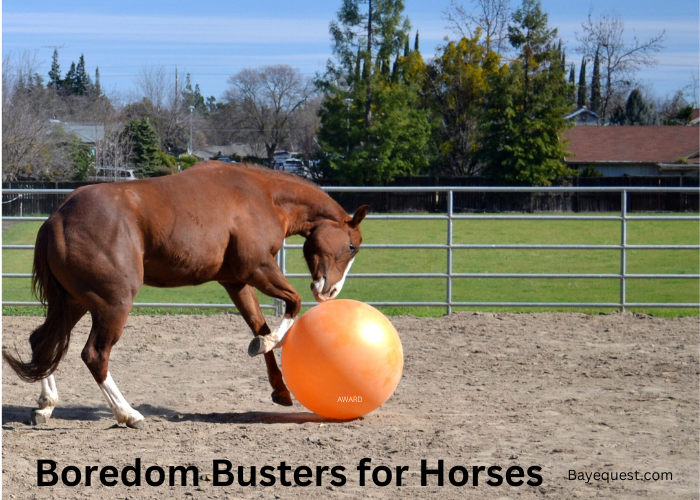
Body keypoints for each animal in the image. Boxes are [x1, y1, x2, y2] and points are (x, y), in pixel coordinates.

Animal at [3, 161, 369, 429]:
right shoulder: (258, 267)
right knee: (94, 355)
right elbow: (291, 304)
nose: (330, 291)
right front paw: (268, 347)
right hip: (112, 304)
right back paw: (128, 414)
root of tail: (56, 218)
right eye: (352, 246)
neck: (262, 195)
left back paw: (45, 406)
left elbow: (259, 325)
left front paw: (278, 386)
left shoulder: (236, 281)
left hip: (73, 301)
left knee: (43, 343)